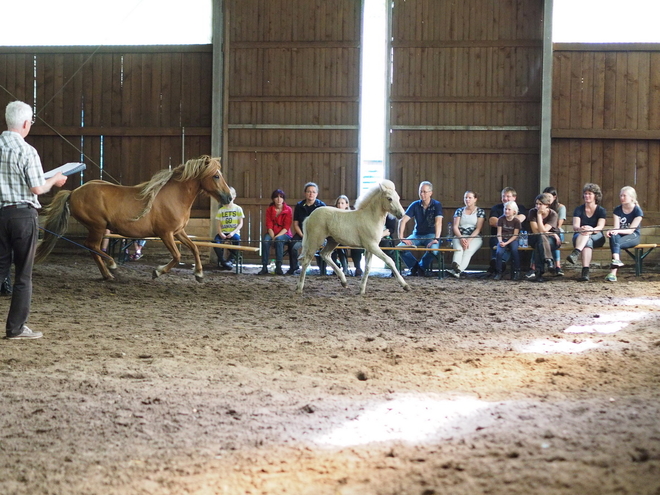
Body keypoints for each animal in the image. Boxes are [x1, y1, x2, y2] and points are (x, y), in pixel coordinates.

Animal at [36, 155, 232, 280]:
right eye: (216, 176)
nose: (229, 197)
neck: (174, 196)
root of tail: (73, 192)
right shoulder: (166, 234)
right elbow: (177, 256)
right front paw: (157, 272)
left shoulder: (178, 232)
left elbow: (194, 248)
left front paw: (199, 274)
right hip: (98, 226)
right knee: (92, 246)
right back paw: (111, 267)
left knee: (93, 248)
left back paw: (108, 273)